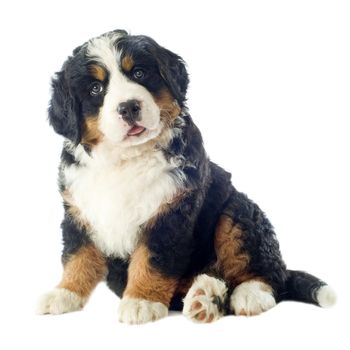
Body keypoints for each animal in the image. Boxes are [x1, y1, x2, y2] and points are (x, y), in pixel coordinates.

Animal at [37, 28, 336, 324]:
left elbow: (152, 260)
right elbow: (78, 255)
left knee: (267, 274)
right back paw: (207, 298)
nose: (129, 107)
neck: (127, 158)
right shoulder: (79, 209)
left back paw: (246, 295)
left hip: (237, 214)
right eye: (95, 89)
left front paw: (141, 301)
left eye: (139, 73)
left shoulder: (170, 213)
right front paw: (64, 293)